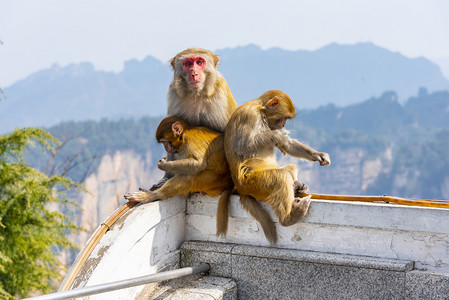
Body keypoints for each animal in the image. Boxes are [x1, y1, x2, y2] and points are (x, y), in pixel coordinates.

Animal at [150, 48, 238, 191]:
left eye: (200, 62)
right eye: (188, 64)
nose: (194, 73)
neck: (196, 93)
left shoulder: (220, 95)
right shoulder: (174, 94)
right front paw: (166, 177)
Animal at [223, 90, 328, 245]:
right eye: (283, 118)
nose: (283, 125)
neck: (261, 112)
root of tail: (241, 189)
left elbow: (287, 145)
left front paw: (319, 155)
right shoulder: (250, 116)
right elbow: (244, 146)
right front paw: (278, 134)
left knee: (288, 169)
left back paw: (296, 186)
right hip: (253, 184)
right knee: (280, 176)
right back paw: (288, 218)